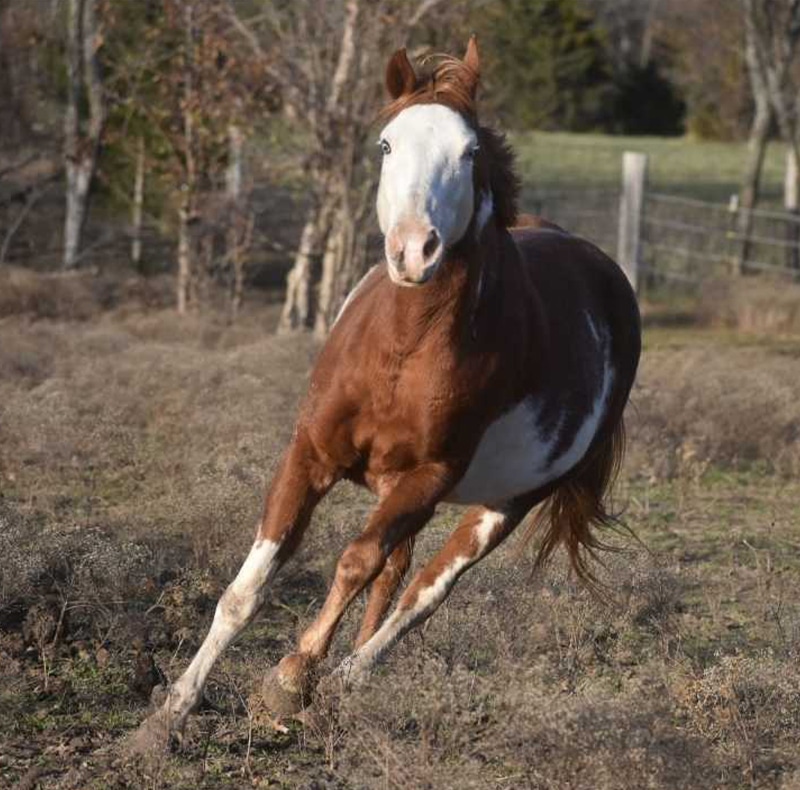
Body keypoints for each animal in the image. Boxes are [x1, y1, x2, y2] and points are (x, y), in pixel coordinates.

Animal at [130, 37, 641, 751]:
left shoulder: (430, 476)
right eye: (386, 144)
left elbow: (356, 563)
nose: (415, 251)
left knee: (421, 592)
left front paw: (288, 680)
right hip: (401, 489)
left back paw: (341, 682)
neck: (402, 352)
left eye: (469, 151)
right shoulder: (309, 456)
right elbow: (248, 588)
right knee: (395, 576)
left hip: (495, 503)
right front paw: (171, 712)